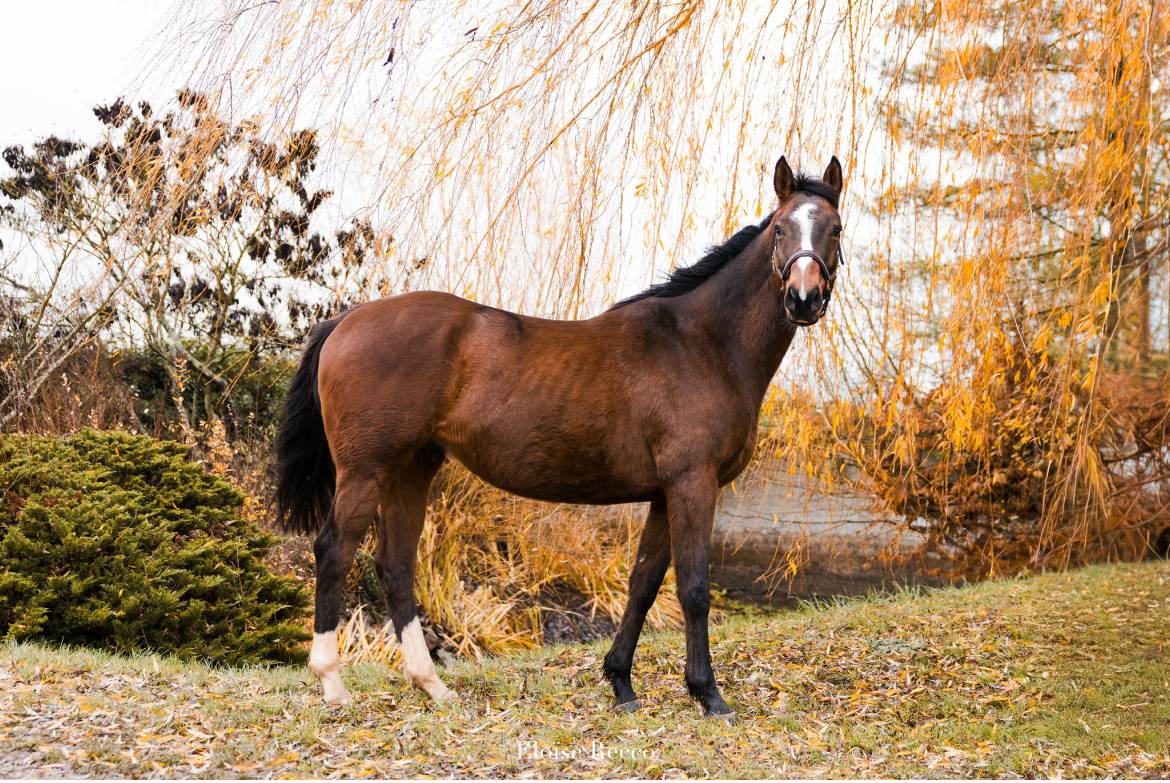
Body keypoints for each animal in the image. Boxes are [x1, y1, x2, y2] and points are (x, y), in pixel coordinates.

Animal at [274, 156, 846, 718]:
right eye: (780, 229)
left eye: (835, 228)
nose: (803, 298)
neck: (702, 342)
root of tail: (347, 320)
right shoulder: (692, 484)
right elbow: (693, 587)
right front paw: (708, 694)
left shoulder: (664, 494)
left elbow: (643, 584)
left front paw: (621, 684)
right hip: (365, 471)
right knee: (334, 551)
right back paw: (334, 685)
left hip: (412, 468)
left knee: (395, 565)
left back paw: (432, 685)